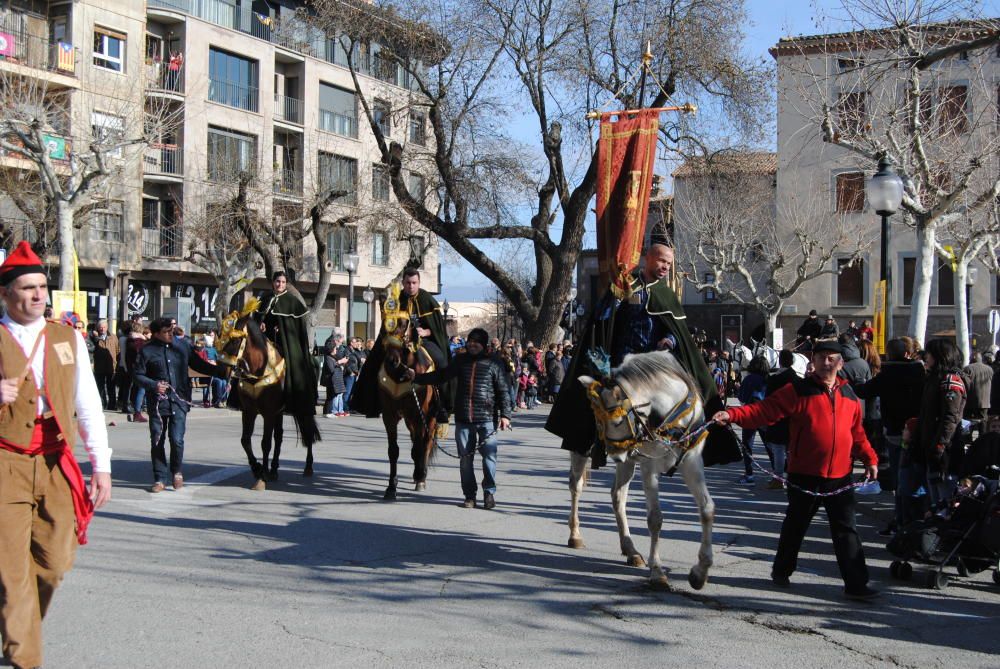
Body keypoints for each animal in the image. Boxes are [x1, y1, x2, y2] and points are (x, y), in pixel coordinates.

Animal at [217, 308, 314, 490]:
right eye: (219, 336)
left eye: (236, 339)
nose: (220, 371)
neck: (258, 371)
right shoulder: (249, 411)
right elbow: (246, 440)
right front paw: (258, 469)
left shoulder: (268, 413)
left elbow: (265, 443)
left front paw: (261, 478)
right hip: (279, 413)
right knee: (279, 436)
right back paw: (274, 470)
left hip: (302, 407)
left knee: (308, 432)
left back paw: (308, 467)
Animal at [568, 350, 716, 588]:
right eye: (598, 421)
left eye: (617, 421)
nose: (615, 455)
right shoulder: (649, 465)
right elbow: (655, 518)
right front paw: (657, 571)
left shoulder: (691, 460)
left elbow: (707, 509)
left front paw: (700, 572)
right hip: (581, 450)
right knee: (576, 486)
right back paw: (575, 535)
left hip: (629, 464)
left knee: (617, 496)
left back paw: (630, 550)